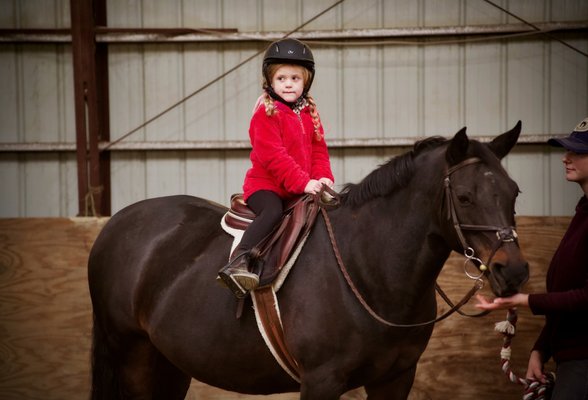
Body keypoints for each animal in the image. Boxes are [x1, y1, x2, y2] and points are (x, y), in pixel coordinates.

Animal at [89, 122, 532, 400]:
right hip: (133, 356)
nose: (513, 271)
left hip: (171, 362)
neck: (368, 267)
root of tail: (116, 224)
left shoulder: (396, 379)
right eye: (465, 198)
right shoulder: (322, 380)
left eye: (514, 192)